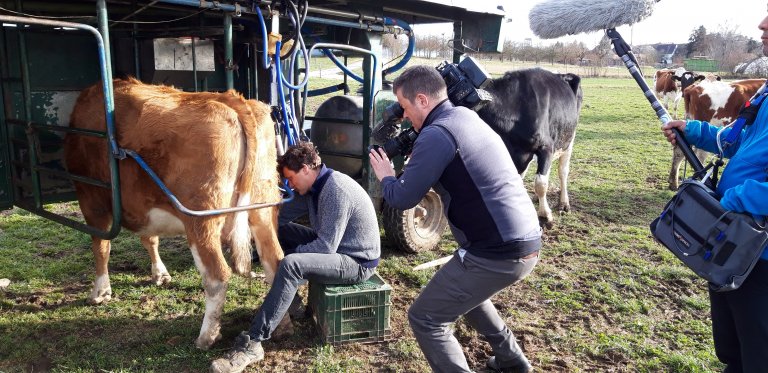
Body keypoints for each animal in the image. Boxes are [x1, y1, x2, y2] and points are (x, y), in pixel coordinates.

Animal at [63, 78, 284, 348]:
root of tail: (232, 100)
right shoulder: (141, 206)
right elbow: (150, 238)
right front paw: (159, 273)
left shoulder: (91, 198)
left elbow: (101, 246)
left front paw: (100, 291)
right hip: (262, 207)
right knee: (275, 261)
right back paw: (283, 324)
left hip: (201, 220)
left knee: (217, 276)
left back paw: (206, 336)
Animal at [480, 69, 584, 227]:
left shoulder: (546, 147)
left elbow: (541, 183)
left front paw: (545, 216)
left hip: (568, 139)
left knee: (563, 171)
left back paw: (563, 203)